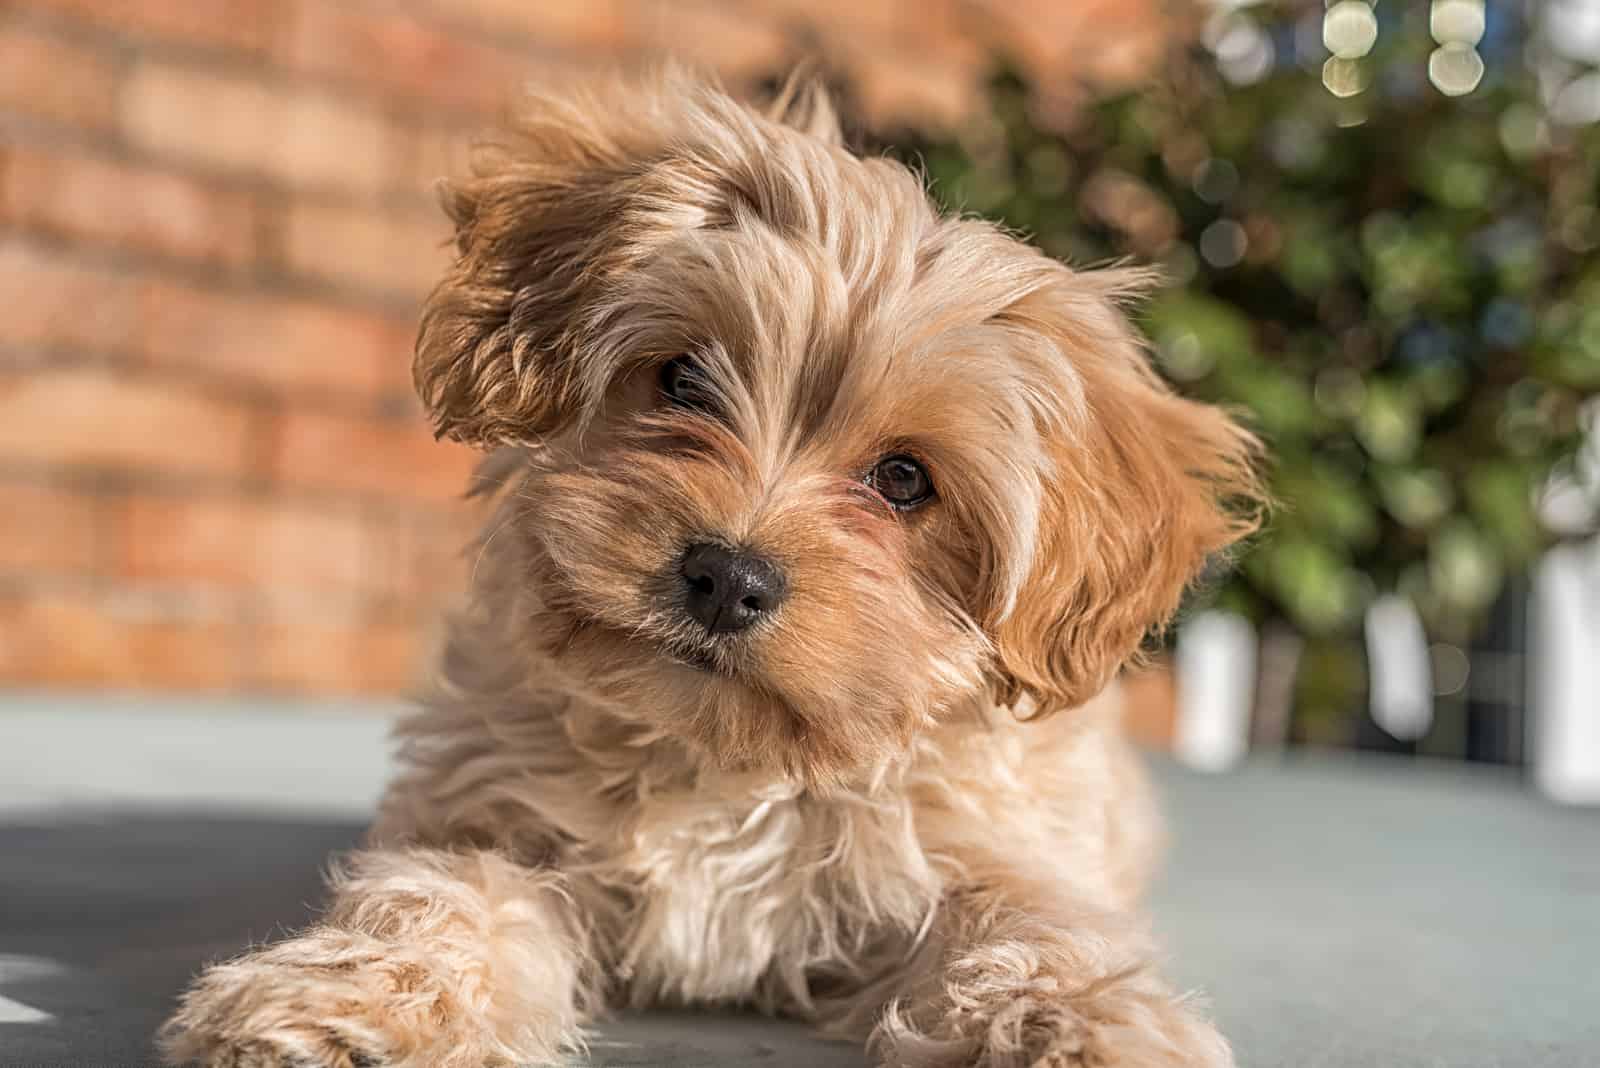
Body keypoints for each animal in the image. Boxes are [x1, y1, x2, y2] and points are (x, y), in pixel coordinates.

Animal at [159, 70, 1260, 1061]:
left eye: (905, 479)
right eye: (684, 379)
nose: (729, 578)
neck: (722, 762)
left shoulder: (998, 848)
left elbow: (1033, 929)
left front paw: (1084, 1028)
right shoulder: (494, 813)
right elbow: (446, 897)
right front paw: (352, 1003)